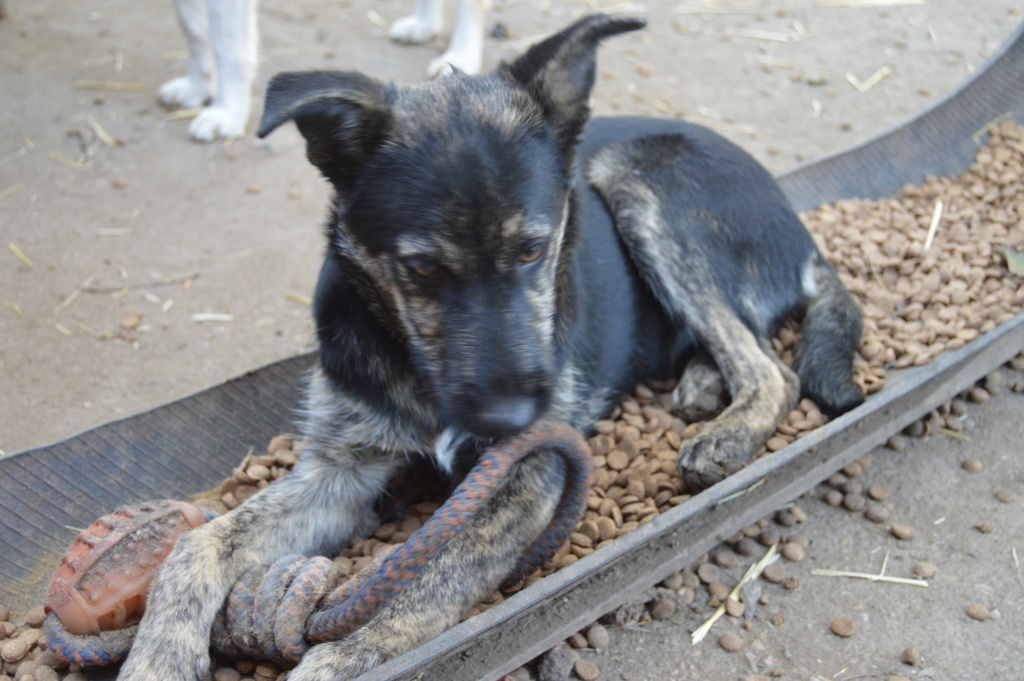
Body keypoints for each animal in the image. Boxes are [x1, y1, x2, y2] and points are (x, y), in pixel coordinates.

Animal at [116, 15, 860, 679]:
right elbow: (196, 543)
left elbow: (429, 582)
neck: (423, 375)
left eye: (534, 250)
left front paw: (340, 659)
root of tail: (796, 221)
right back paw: (704, 385)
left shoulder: (527, 475)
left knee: (770, 366)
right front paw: (157, 659)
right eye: (420, 269)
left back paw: (726, 429)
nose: (508, 418)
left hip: (636, 174)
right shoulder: (338, 474)